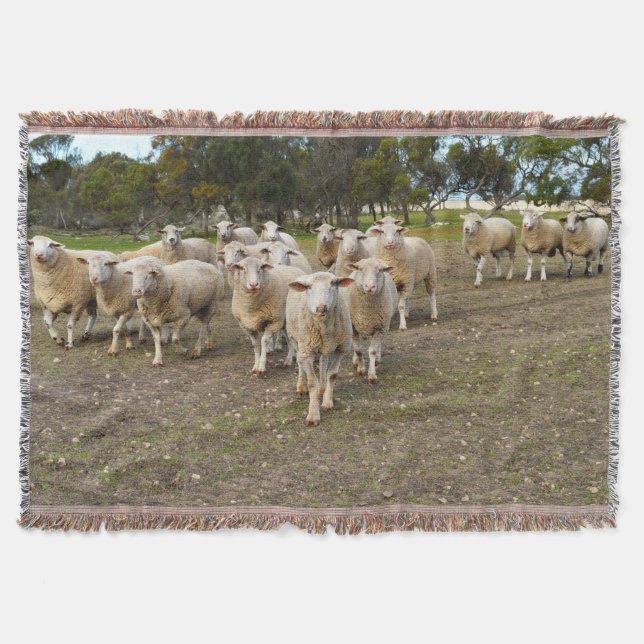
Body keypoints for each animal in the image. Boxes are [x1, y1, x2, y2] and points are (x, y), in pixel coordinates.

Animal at [286, 272, 354, 426]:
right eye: (308, 287)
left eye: (334, 284)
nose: (321, 308)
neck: (324, 327)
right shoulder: (306, 351)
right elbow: (312, 384)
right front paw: (313, 415)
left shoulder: (341, 349)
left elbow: (332, 375)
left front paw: (327, 402)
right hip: (296, 339)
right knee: (299, 363)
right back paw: (301, 387)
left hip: (325, 347)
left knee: (323, 363)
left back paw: (322, 389)